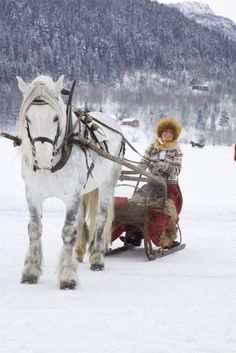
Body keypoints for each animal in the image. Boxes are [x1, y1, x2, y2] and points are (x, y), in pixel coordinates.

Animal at [16, 74, 123, 288]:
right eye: (28, 118)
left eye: (56, 117)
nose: (42, 159)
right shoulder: (32, 194)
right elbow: (34, 229)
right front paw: (31, 271)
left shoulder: (72, 196)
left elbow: (67, 232)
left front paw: (67, 276)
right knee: (82, 221)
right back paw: (80, 253)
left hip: (108, 183)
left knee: (100, 218)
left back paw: (97, 258)